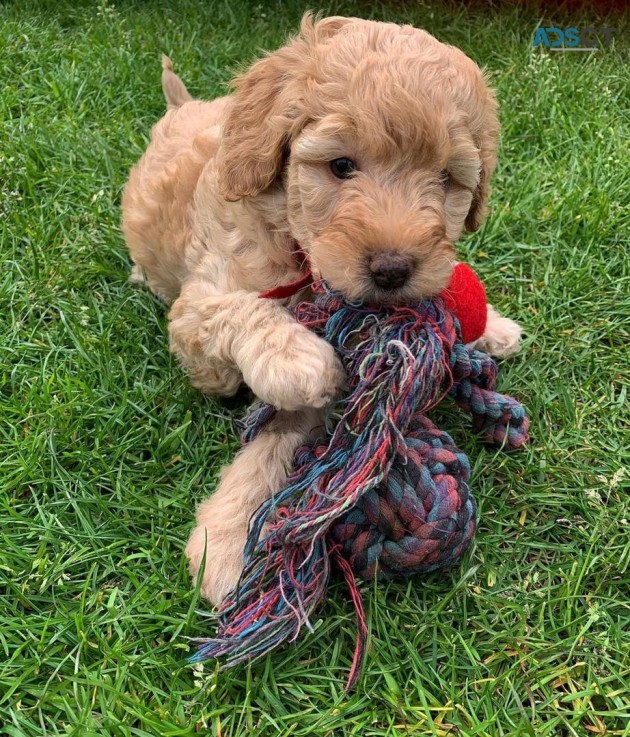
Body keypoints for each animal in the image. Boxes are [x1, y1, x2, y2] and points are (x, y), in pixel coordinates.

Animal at [122, 14, 524, 604]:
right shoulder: (199, 318)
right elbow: (247, 324)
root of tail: (180, 106)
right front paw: (228, 547)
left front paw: (492, 325)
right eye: (340, 165)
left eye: (446, 178)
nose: (393, 270)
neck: (295, 242)